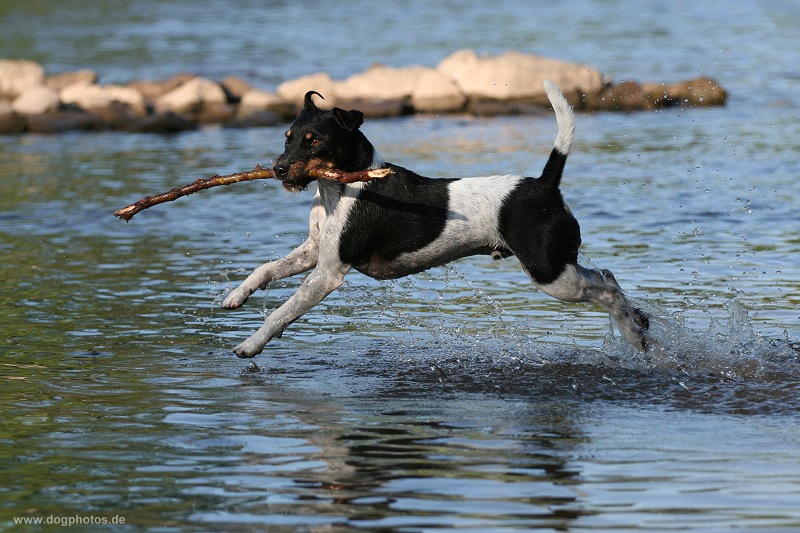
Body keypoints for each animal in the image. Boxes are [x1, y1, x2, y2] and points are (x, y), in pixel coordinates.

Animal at [220, 82, 648, 358]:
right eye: (288, 136)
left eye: (314, 141)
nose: (277, 169)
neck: (342, 187)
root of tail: (544, 184)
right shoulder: (313, 251)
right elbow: (266, 269)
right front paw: (236, 296)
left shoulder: (328, 273)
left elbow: (283, 311)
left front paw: (250, 345)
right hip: (559, 266)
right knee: (608, 276)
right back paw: (638, 326)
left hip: (550, 273)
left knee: (606, 290)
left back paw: (633, 332)